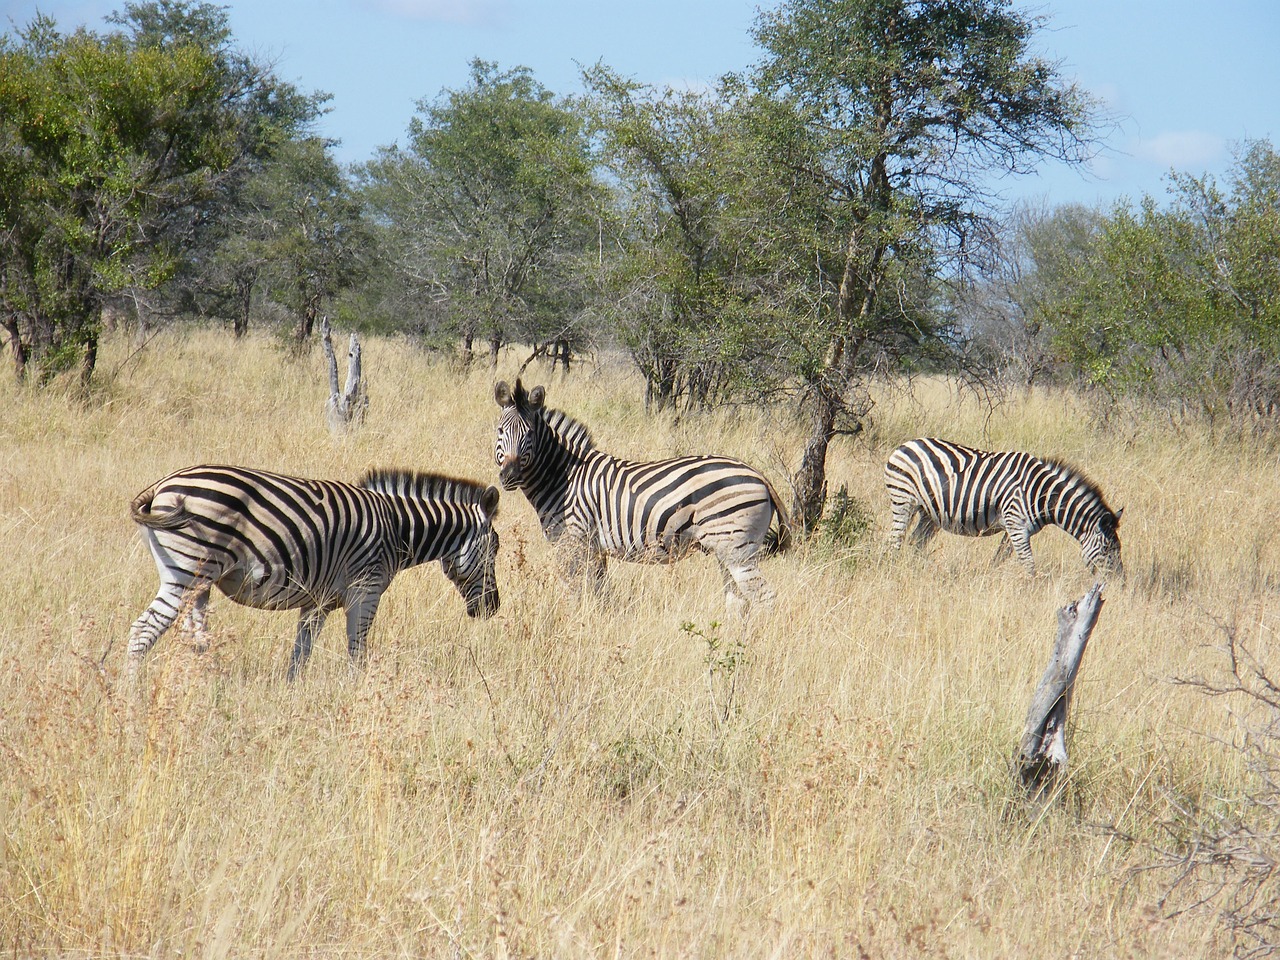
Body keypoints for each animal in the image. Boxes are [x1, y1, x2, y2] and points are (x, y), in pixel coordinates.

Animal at [127, 463, 499, 675]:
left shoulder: (318, 602)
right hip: (185, 573)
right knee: (144, 630)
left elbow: (300, 654)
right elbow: (357, 650)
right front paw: (356, 693)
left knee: (197, 639)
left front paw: (291, 696)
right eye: (495, 550)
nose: (492, 608)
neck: (396, 528)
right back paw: (133, 700)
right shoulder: (366, 590)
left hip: (199, 583)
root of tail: (161, 485)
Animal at [491, 378, 783, 611]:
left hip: (737, 550)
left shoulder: (572, 542)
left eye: (529, 434)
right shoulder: (594, 549)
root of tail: (760, 476)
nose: (509, 476)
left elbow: (574, 592)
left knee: (765, 599)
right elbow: (600, 594)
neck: (563, 477)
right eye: (500, 431)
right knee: (738, 602)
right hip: (726, 550)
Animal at [885, 437, 1126, 578]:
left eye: (1118, 548)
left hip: (929, 514)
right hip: (903, 501)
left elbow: (999, 559)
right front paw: (1031, 593)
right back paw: (893, 571)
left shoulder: (1014, 529)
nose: (1121, 584)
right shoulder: (1016, 525)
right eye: (1108, 548)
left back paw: (916, 572)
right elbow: (1028, 565)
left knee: (916, 543)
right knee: (895, 541)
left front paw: (990, 579)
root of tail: (906, 444)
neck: (1040, 494)